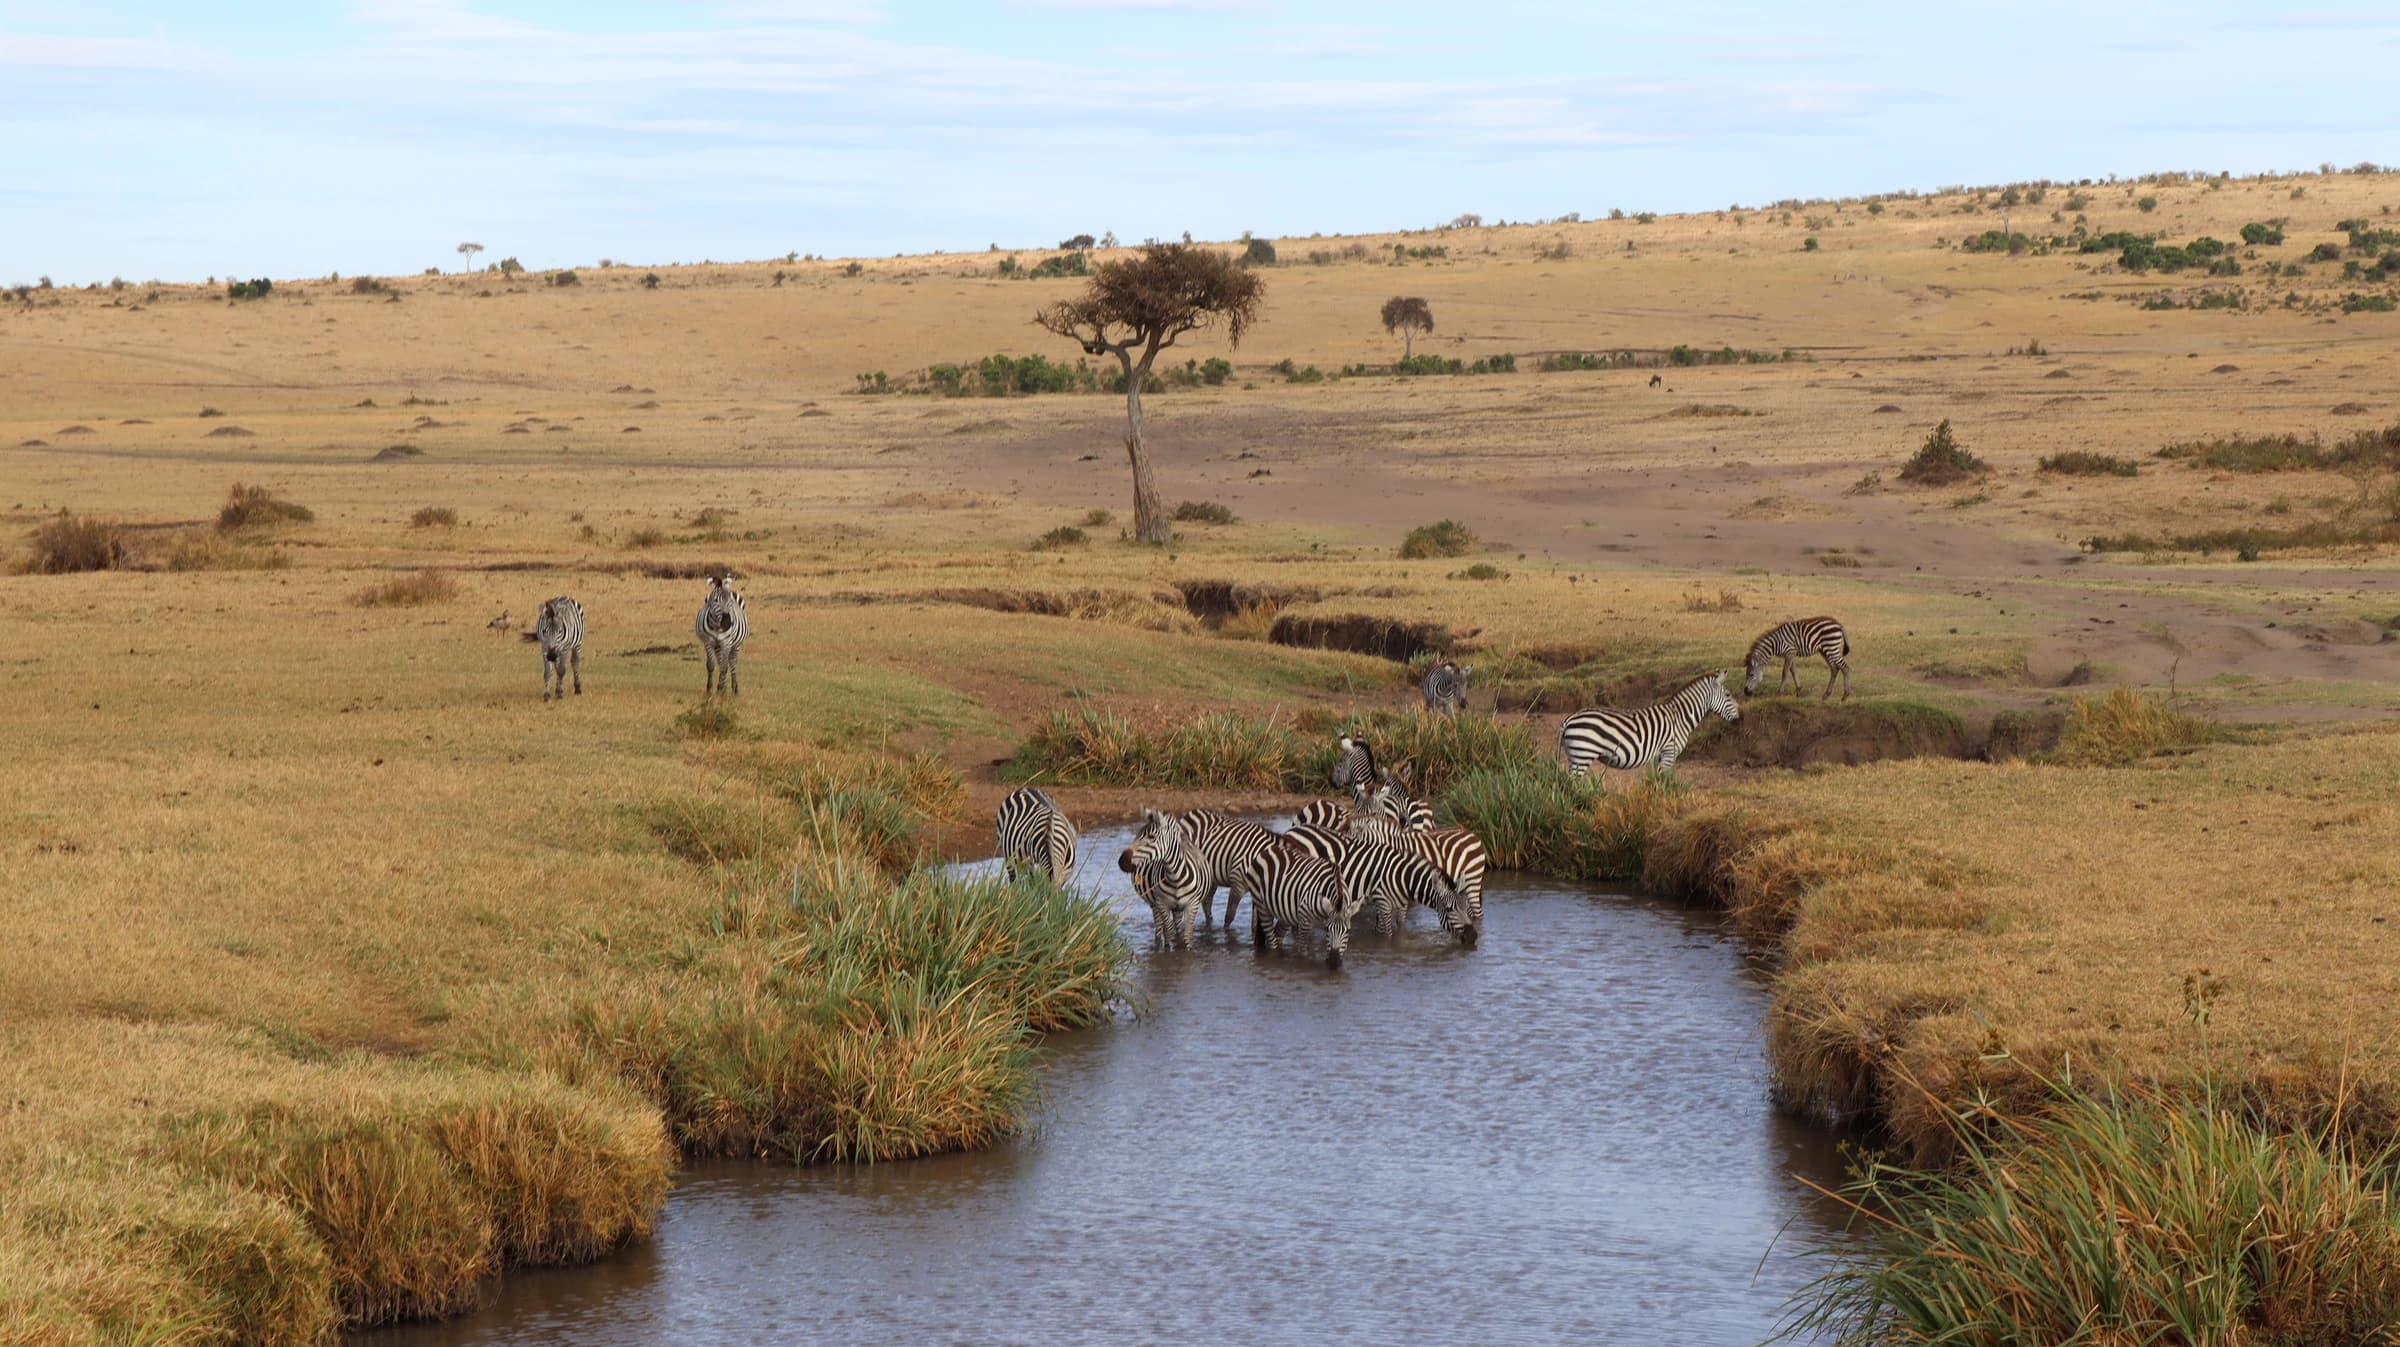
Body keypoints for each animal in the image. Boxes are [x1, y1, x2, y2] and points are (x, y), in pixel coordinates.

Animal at [1117, 808, 1206, 950]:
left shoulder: (1193, 905)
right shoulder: (1162, 904)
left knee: (1177, 929)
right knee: (1159, 931)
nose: (1122, 861)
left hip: (1176, 908)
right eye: (1137, 836)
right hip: (1155, 904)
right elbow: (1168, 936)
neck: (1175, 877)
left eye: (1151, 837)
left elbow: (1187, 938)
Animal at [1236, 838, 1359, 969]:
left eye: (1348, 931)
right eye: (1326, 929)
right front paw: (1304, 964)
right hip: (1261, 905)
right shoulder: (1305, 918)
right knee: (1271, 939)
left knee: (1277, 935)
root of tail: (1268, 850)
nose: (1333, 963)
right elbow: (1303, 950)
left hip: (1285, 912)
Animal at [1559, 671, 1741, 777]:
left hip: (1574, 756)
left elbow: (1654, 782)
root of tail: (1570, 718)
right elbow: (1664, 782)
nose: (1740, 719)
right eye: (1728, 695)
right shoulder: (1669, 752)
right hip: (1583, 755)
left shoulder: (1657, 756)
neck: (1680, 717)